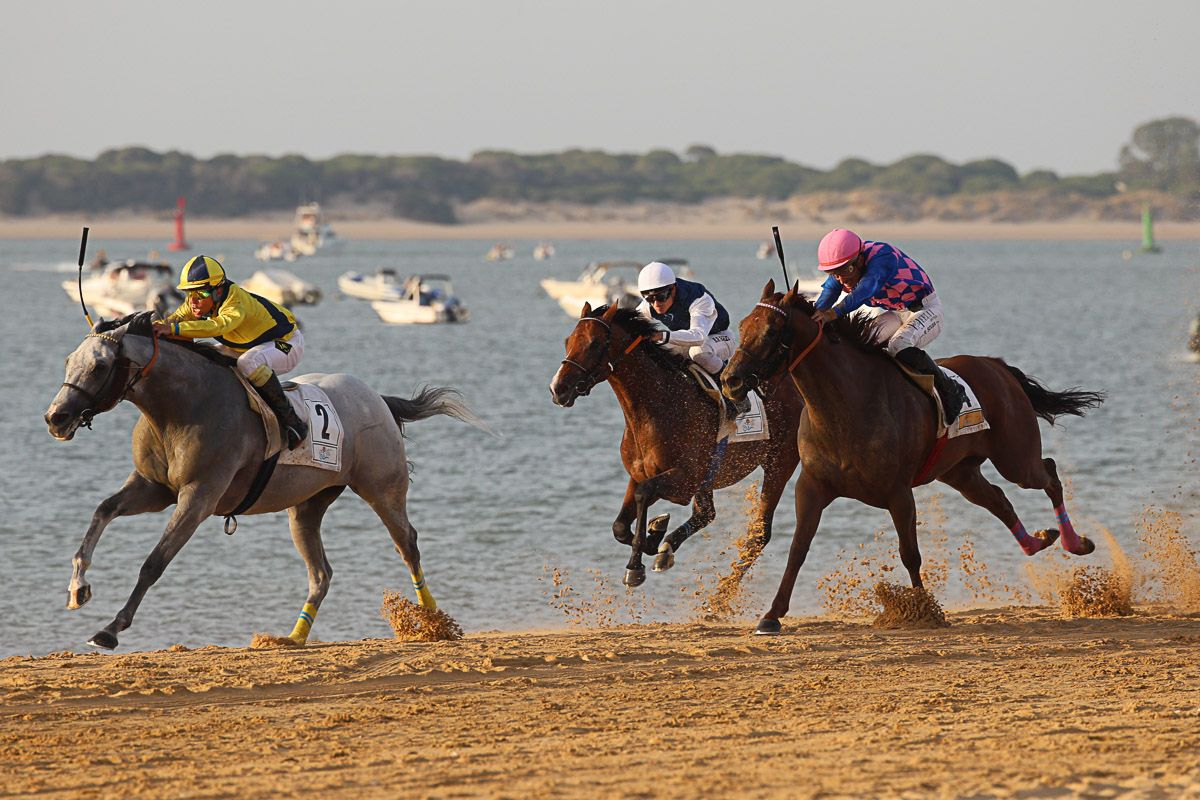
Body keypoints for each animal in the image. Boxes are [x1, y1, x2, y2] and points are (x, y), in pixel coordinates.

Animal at [43, 312, 488, 650]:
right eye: (67, 361)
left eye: (100, 366)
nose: (55, 418)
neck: (182, 405)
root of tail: (378, 398)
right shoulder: (154, 489)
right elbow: (102, 511)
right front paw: (77, 588)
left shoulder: (198, 497)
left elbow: (154, 562)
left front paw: (110, 629)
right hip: (306, 507)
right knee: (321, 574)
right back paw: (293, 637)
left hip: (383, 490)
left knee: (407, 544)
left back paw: (433, 621)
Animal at [549, 302, 804, 587]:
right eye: (568, 341)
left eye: (593, 344)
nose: (558, 388)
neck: (658, 407)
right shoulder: (640, 474)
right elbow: (620, 526)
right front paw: (654, 536)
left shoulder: (685, 480)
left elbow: (644, 494)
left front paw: (636, 565)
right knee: (707, 514)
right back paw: (667, 547)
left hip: (778, 463)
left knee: (759, 533)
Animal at [722, 280, 1105, 634]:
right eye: (742, 325)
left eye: (771, 331)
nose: (730, 380)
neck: (847, 406)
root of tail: (997, 367)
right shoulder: (812, 486)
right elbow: (798, 548)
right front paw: (772, 615)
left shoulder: (898, 493)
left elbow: (910, 553)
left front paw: (923, 610)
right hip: (961, 473)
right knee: (999, 500)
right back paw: (1036, 541)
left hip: (1017, 459)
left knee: (1049, 474)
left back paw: (1075, 542)